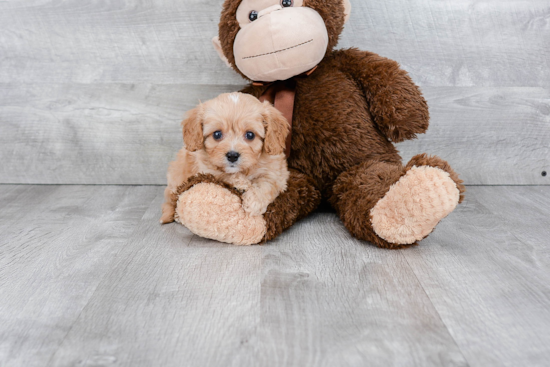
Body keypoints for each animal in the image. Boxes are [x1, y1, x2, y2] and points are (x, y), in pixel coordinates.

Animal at [162, 92, 292, 224]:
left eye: (250, 135)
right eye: (217, 134)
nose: (232, 156)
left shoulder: (278, 173)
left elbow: (267, 184)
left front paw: (254, 202)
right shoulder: (205, 170)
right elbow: (222, 175)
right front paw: (241, 182)